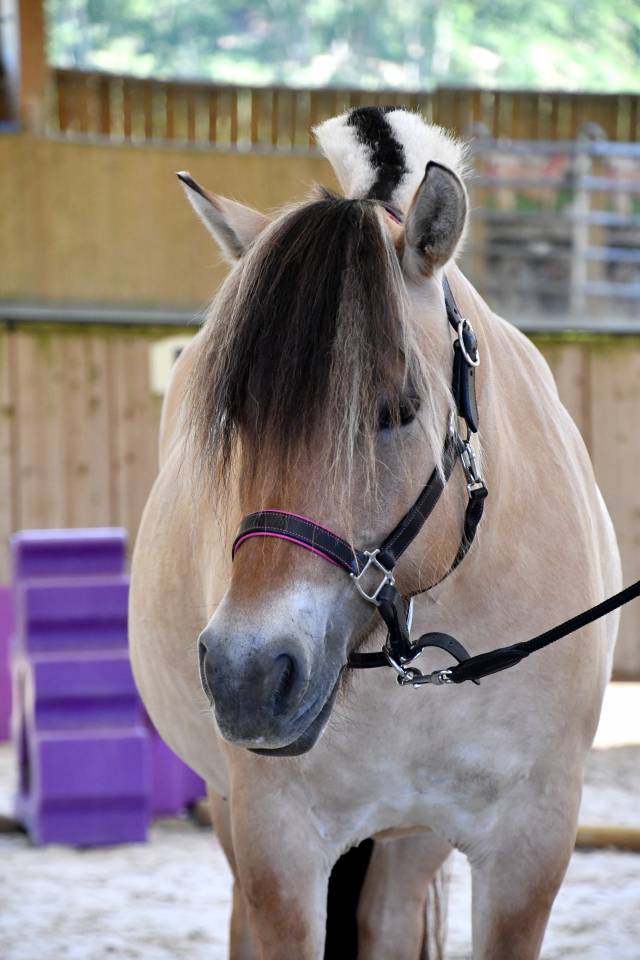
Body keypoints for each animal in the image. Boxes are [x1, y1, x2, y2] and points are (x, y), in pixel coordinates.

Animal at [129, 107, 621, 959]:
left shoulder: (529, 850)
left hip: (412, 837)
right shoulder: (279, 848)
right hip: (232, 811)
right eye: (233, 415)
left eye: (398, 408)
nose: (248, 675)